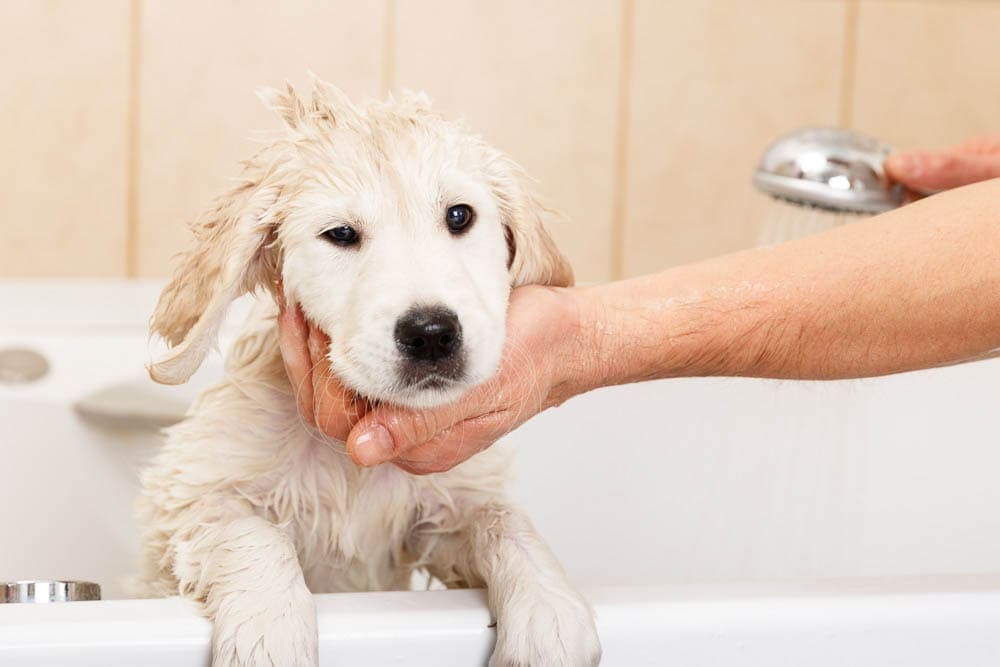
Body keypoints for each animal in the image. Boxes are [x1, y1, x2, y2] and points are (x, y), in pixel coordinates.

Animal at [133, 79, 600, 667]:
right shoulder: (194, 499)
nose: (432, 333)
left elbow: (503, 518)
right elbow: (255, 534)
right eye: (340, 234)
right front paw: (271, 631)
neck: (350, 461)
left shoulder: (443, 512)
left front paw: (550, 614)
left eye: (459, 216)